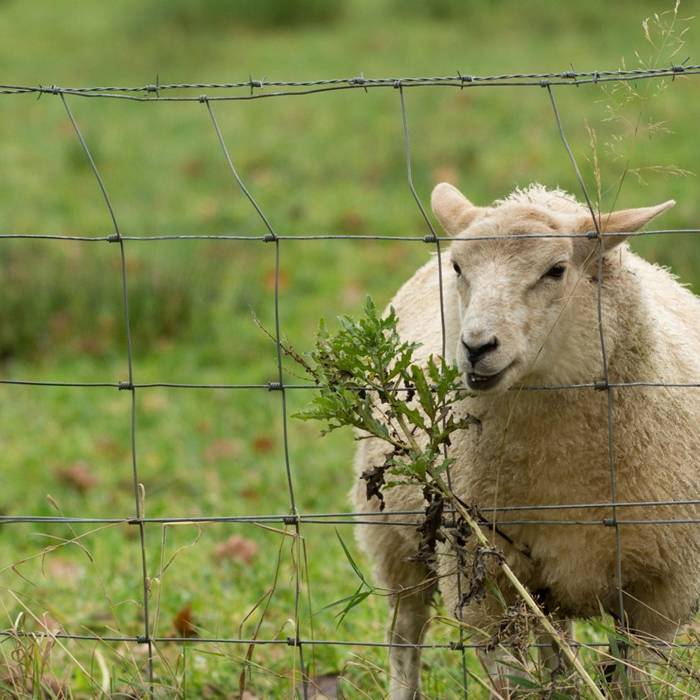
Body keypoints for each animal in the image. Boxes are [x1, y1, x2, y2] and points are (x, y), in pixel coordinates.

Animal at [352, 182, 700, 700]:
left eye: (556, 270)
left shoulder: (662, 593)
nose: (476, 347)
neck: (565, 468)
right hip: (394, 537)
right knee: (404, 634)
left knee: (557, 650)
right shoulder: (480, 579)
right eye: (459, 268)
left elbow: (635, 684)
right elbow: (514, 683)